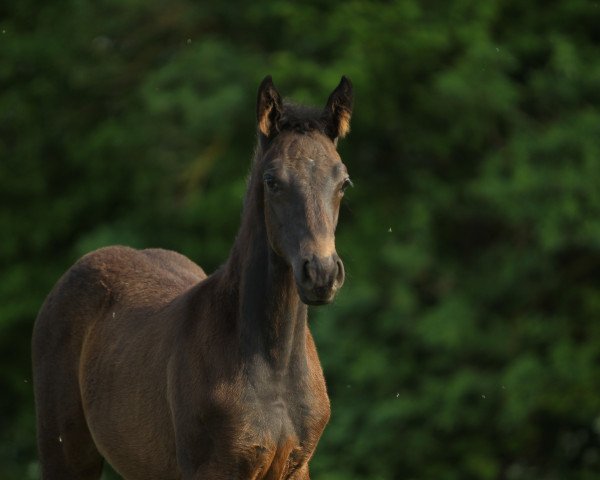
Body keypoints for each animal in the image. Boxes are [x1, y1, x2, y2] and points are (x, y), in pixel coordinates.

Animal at [31, 75, 352, 480]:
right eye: (272, 181)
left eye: (343, 182)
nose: (321, 273)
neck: (273, 367)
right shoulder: (212, 469)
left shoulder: (296, 467)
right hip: (66, 450)